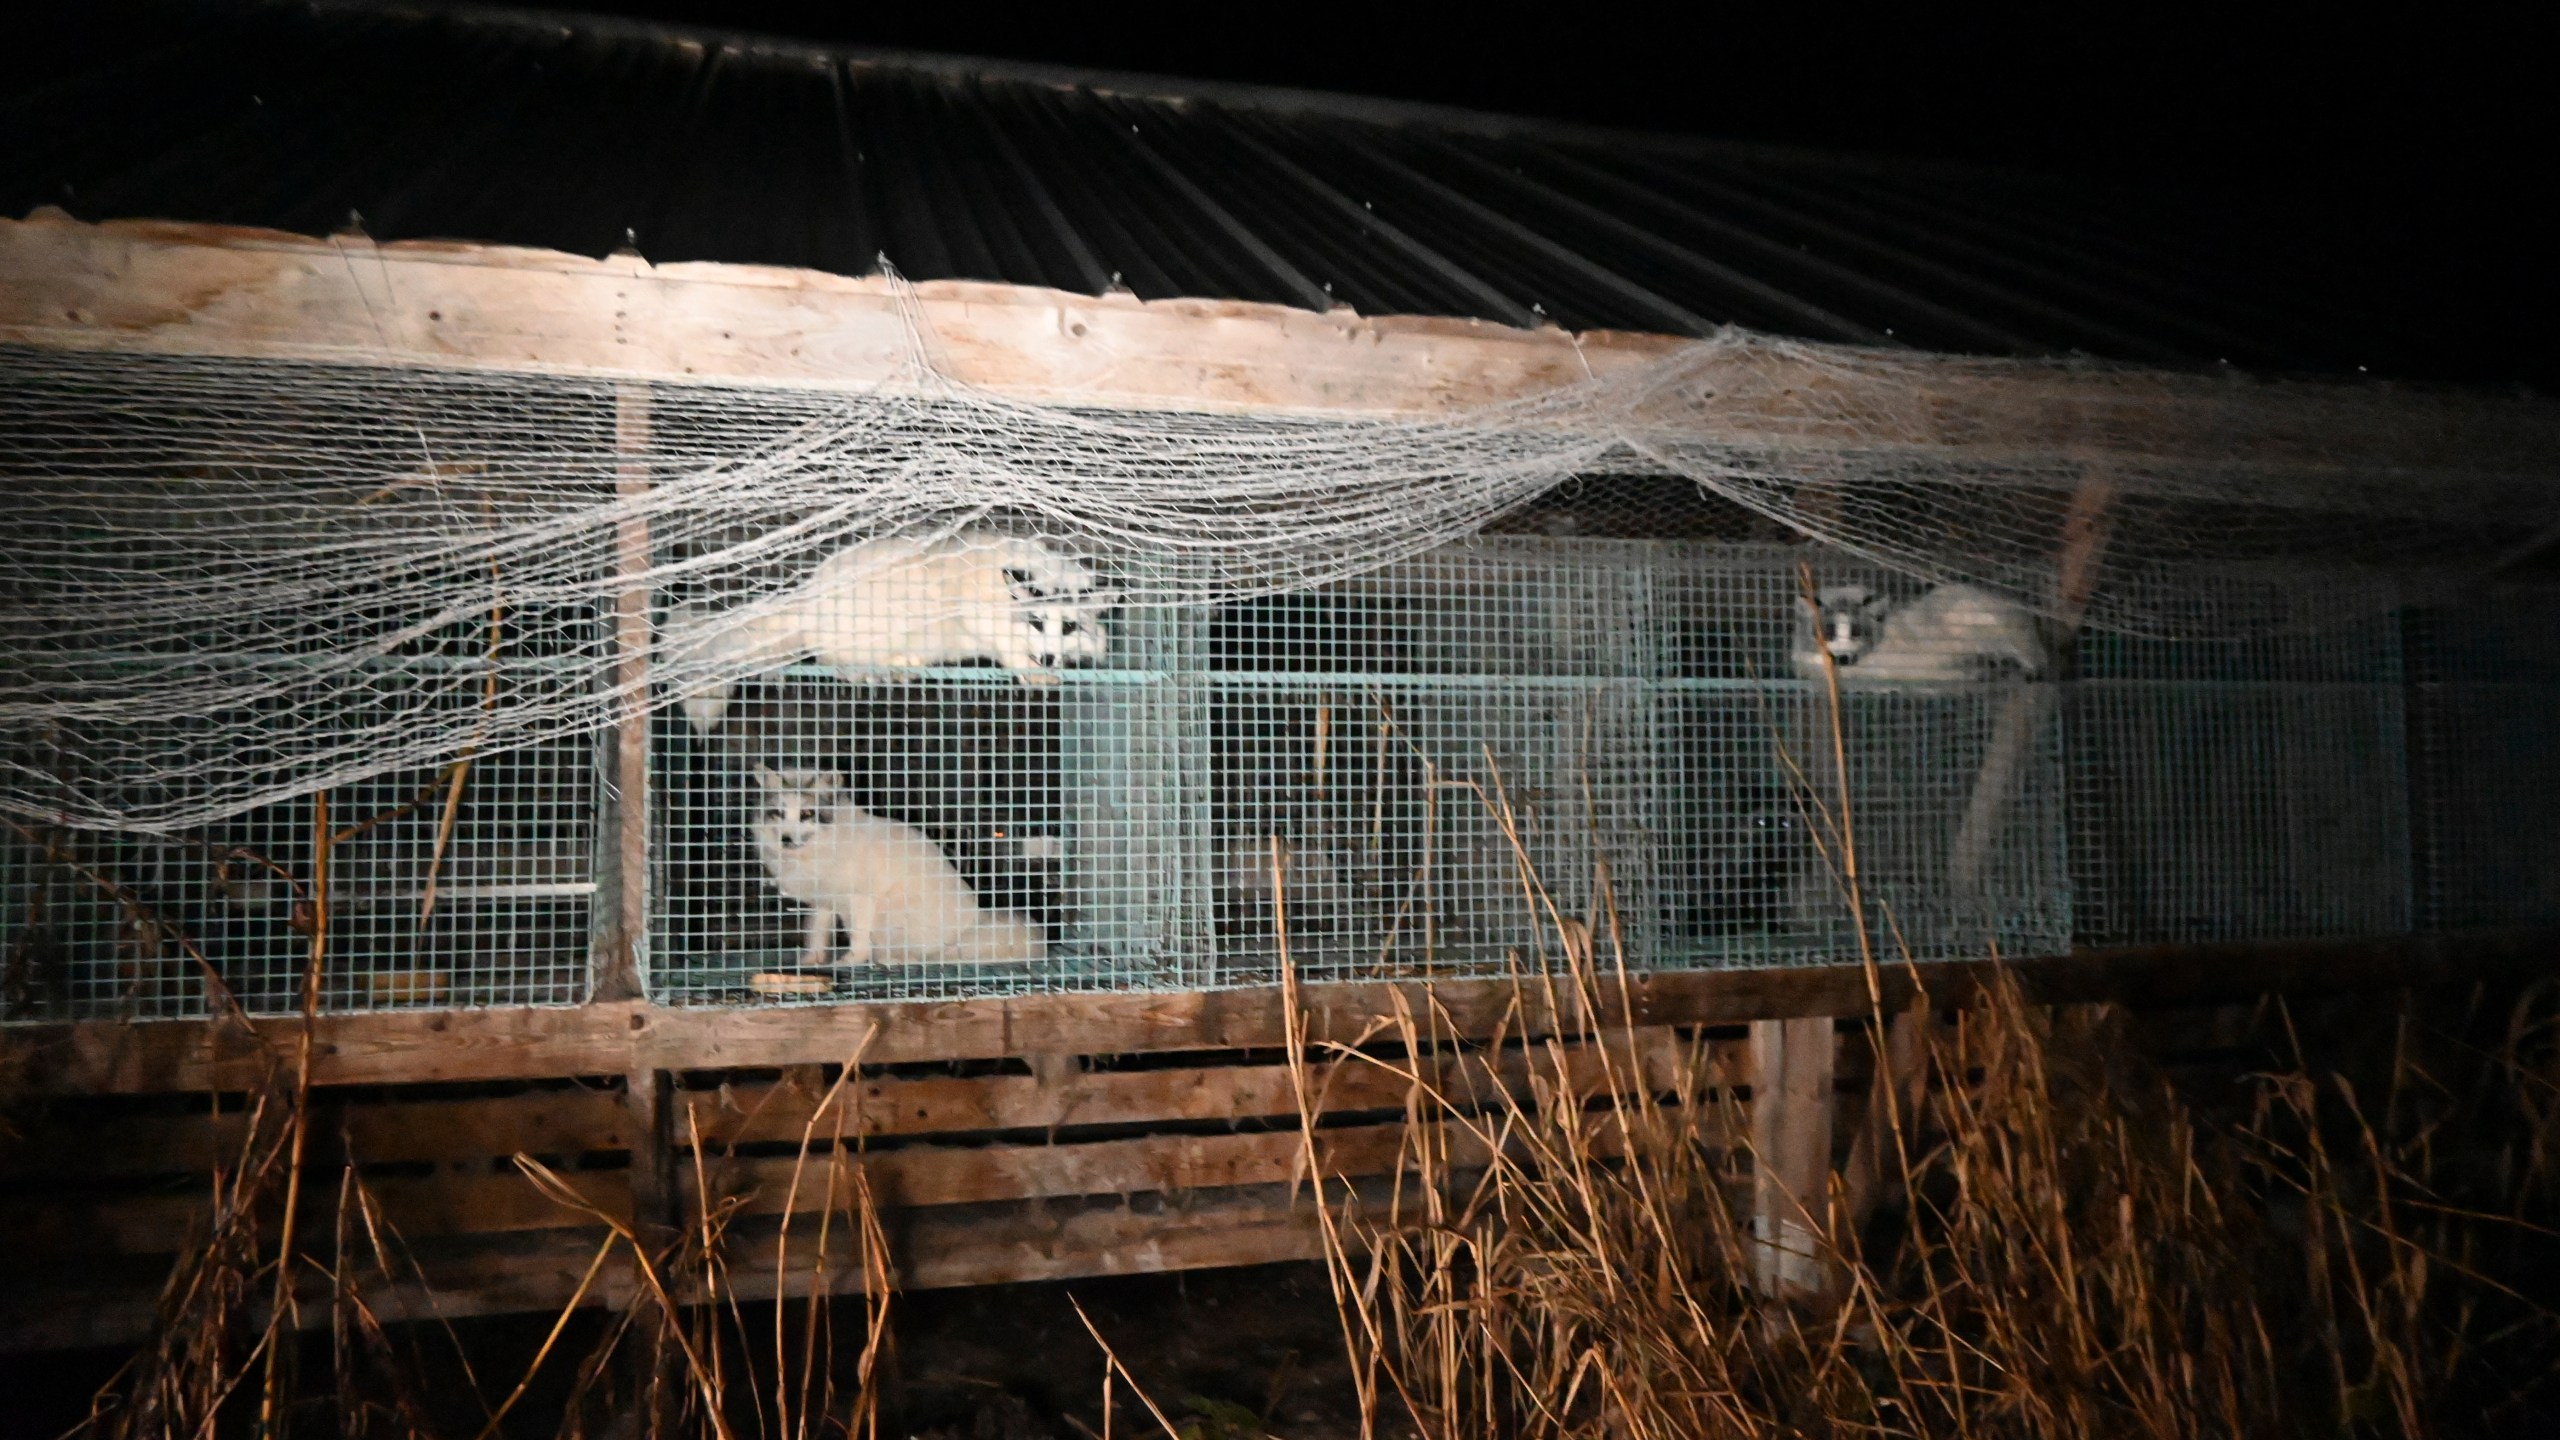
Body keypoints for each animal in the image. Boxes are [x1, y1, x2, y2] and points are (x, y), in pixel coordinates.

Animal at [660, 527, 1111, 727]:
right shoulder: (979, 615)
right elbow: (1009, 650)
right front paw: (1033, 671)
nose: (1050, 656)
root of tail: (807, 598)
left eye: (1070, 628)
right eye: (1036, 621)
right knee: (838, 661)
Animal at [747, 763, 1049, 963]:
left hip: (890, 913)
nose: (786, 839)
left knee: (920, 957)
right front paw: (812, 962)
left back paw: (890, 959)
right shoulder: (825, 900)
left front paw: (850, 962)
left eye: (807, 814)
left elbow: (858, 937)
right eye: (778, 813)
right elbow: (816, 933)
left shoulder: (860, 897)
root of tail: (968, 931)